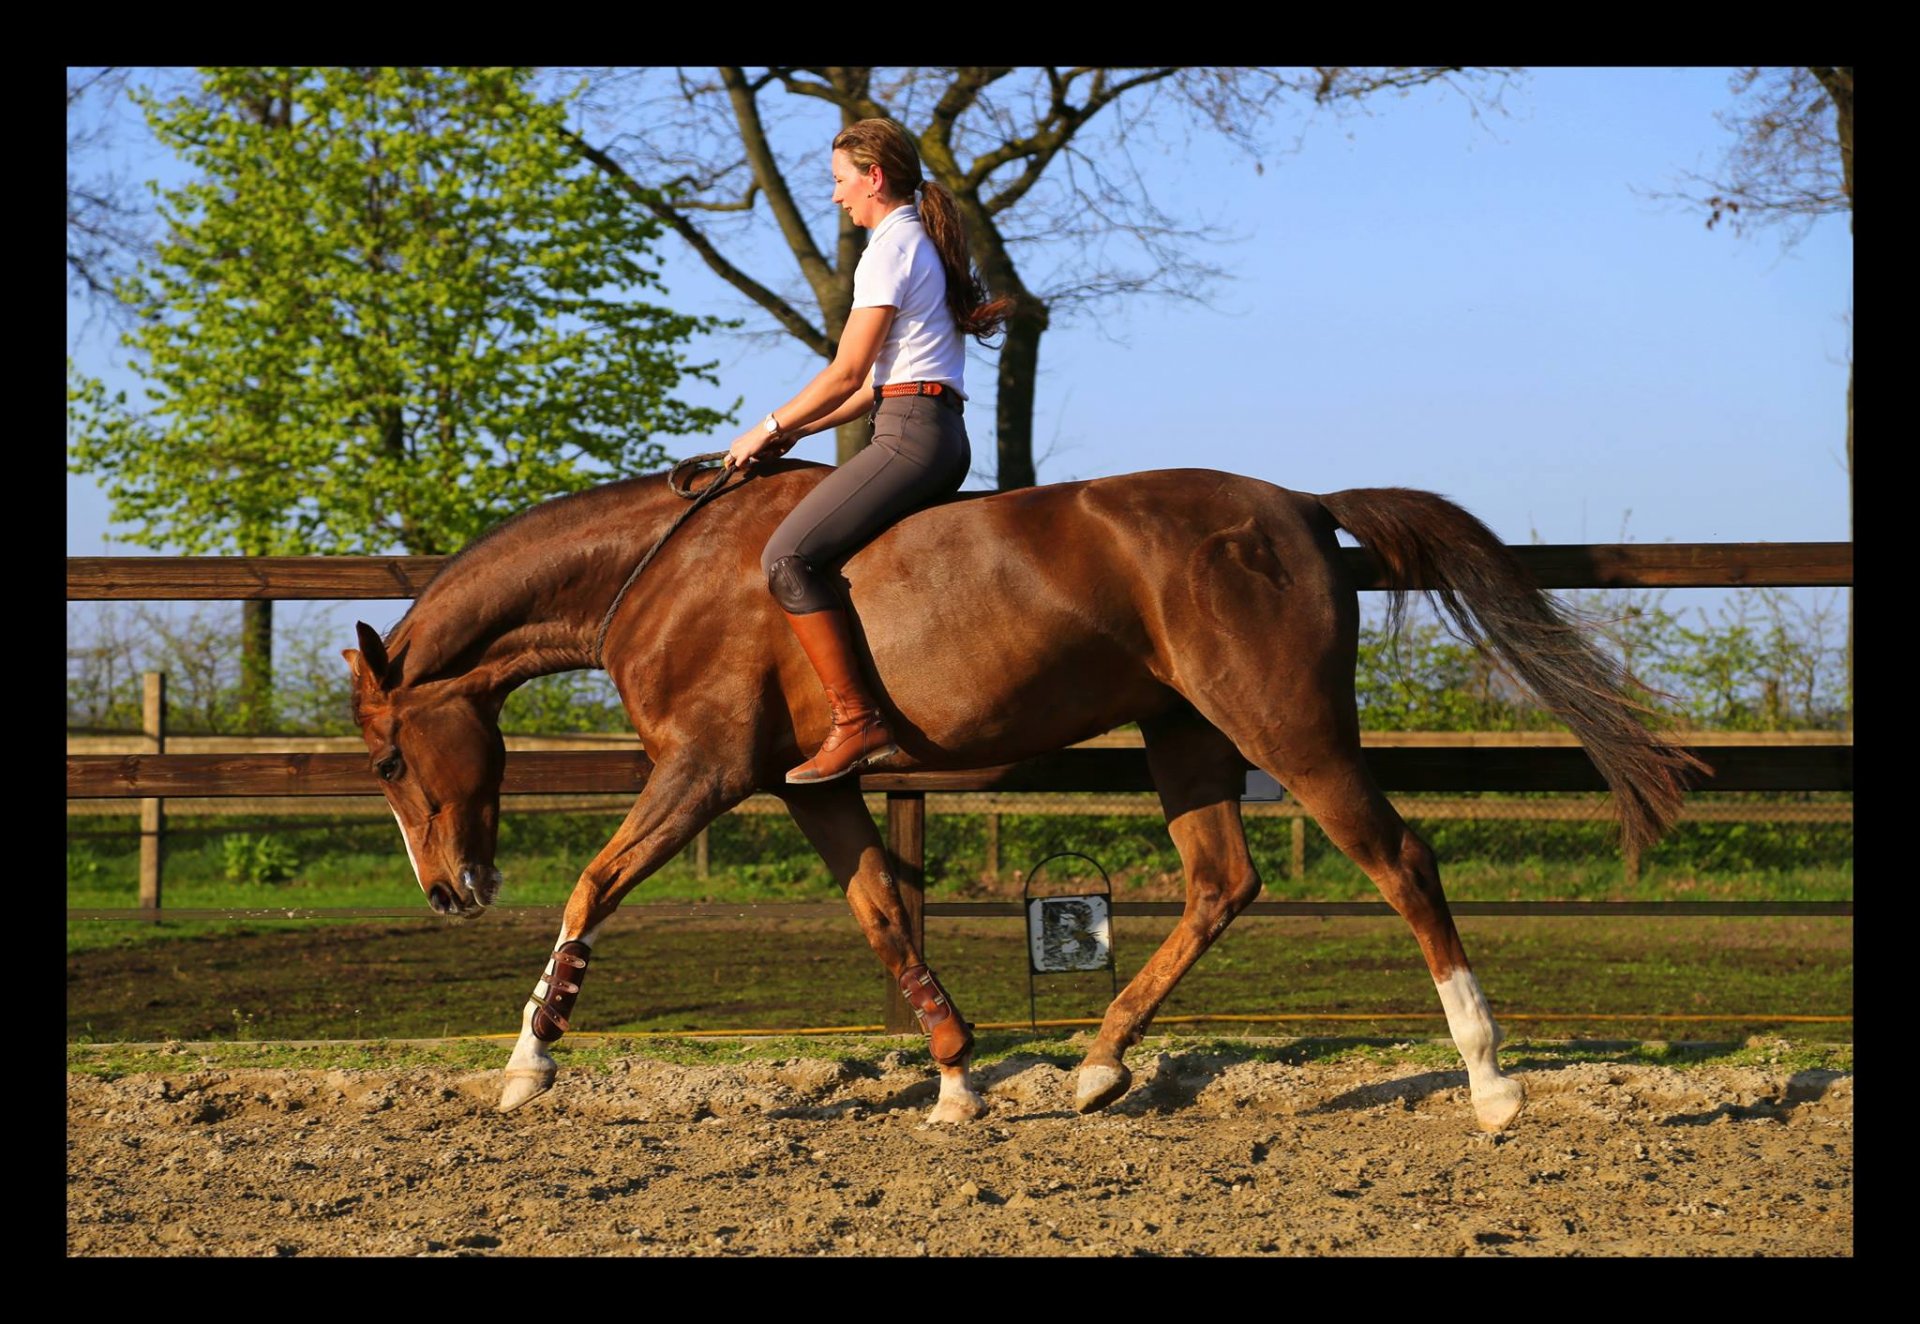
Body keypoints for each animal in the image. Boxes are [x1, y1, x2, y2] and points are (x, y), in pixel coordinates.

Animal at [345, 458, 1697, 1128]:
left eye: (388, 761)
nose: (446, 893)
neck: (663, 569)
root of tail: (1304, 508)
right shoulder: (807, 787)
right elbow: (882, 916)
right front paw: (954, 1083)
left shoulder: (707, 769)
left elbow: (594, 885)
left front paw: (527, 1065)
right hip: (1185, 733)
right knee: (1223, 882)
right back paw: (1097, 1068)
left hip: (1289, 727)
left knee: (1401, 862)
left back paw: (1491, 1083)